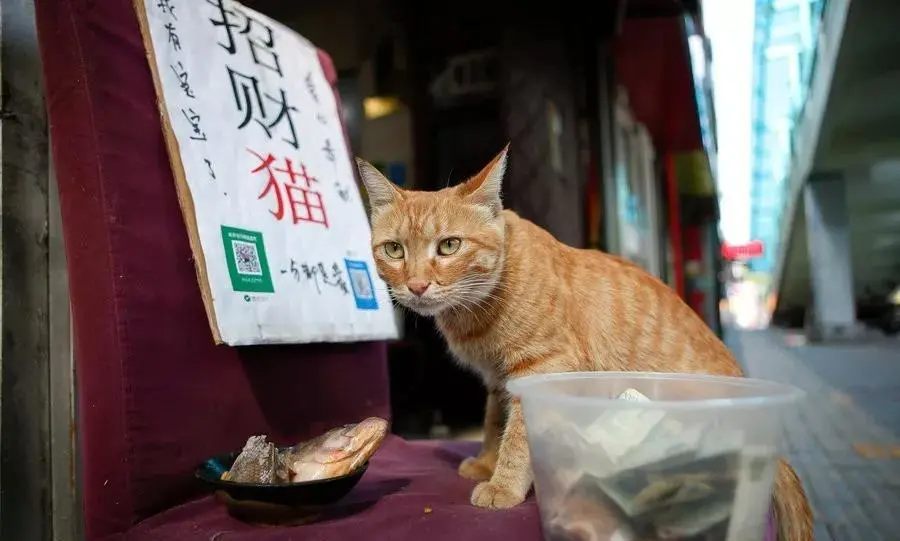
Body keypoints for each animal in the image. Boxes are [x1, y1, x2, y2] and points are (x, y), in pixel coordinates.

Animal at [356, 146, 812, 536]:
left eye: (449, 245)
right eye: (394, 250)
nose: (416, 285)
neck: (478, 308)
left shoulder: (543, 367)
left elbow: (518, 436)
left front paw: (504, 485)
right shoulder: (499, 380)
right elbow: (492, 422)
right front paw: (487, 463)